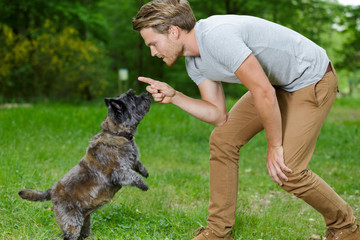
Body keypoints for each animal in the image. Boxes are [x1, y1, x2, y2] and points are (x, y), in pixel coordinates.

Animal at [18, 89, 152, 239]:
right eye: (133, 98)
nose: (147, 94)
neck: (117, 133)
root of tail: (51, 191)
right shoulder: (118, 172)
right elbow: (133, 175)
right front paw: (143, 184)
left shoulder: (131, 161)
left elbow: (137, 164)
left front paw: (145, 172)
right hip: (72, 222)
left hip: (85, 220)